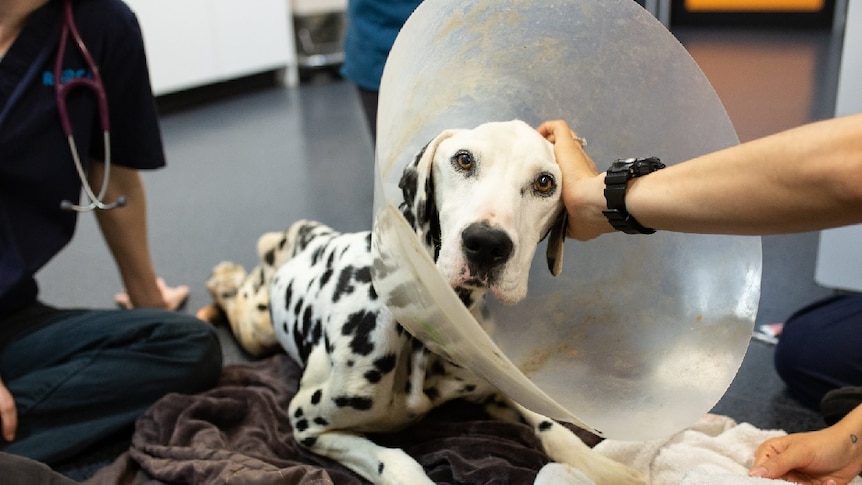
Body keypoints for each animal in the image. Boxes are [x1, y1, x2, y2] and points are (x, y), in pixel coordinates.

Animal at [204, 121, 648, 484]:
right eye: (463, 159)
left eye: (544, 182)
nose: (486, 244)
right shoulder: (307, 423)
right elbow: (396, 462)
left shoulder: (492, 389)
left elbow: (552, 426)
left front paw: (606, 468)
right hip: (257, 326)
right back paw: (223, 279)